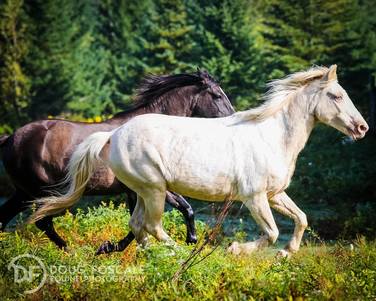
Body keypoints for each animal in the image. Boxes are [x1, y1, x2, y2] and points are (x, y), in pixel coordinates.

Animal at [0, 69, 234, 253]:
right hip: (39, 191)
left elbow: (173, 211)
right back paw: (72, 251)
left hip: (23, 193)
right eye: (216, 95)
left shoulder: (142, 189)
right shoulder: (145, 187)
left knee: (7, 218)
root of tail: (10, 138)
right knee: (43, 222)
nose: (233, 117)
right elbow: (154, 219)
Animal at [30, 65, 368, 255]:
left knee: (138, 226)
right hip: (154, 189)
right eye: (336, 96)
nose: (362, 128)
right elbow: (272, 232)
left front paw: (287, 253)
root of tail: (114, 134)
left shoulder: (275, 194)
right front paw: (235, 249)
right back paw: (177, 252)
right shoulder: (254, 197)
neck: (271, 135)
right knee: (152, 226)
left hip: (142, 192)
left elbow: (301, 218)